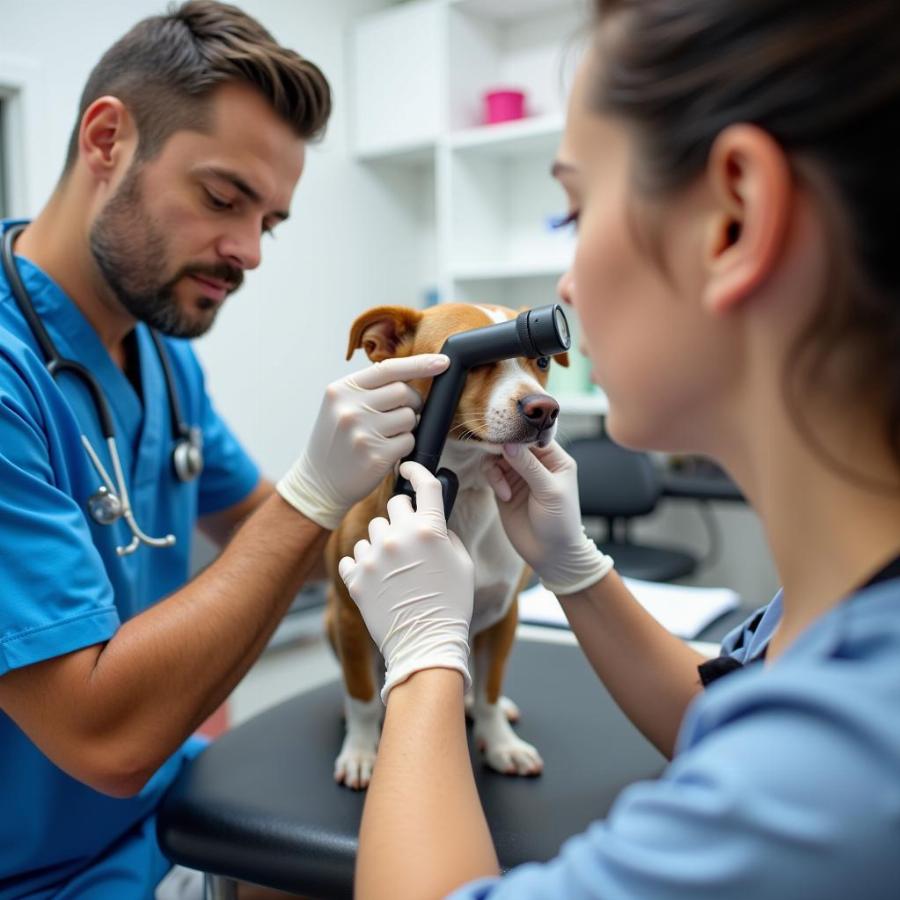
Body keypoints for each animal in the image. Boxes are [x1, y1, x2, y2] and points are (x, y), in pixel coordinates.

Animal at [324, 300, 568, 788]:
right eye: (472, 362)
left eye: (543, 362)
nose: (544, 409)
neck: (468, 491)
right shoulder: (348, 618)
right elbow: (362, 697)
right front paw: (360, 750)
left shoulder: (503, 616)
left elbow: (490, 690)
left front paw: (501, 744)